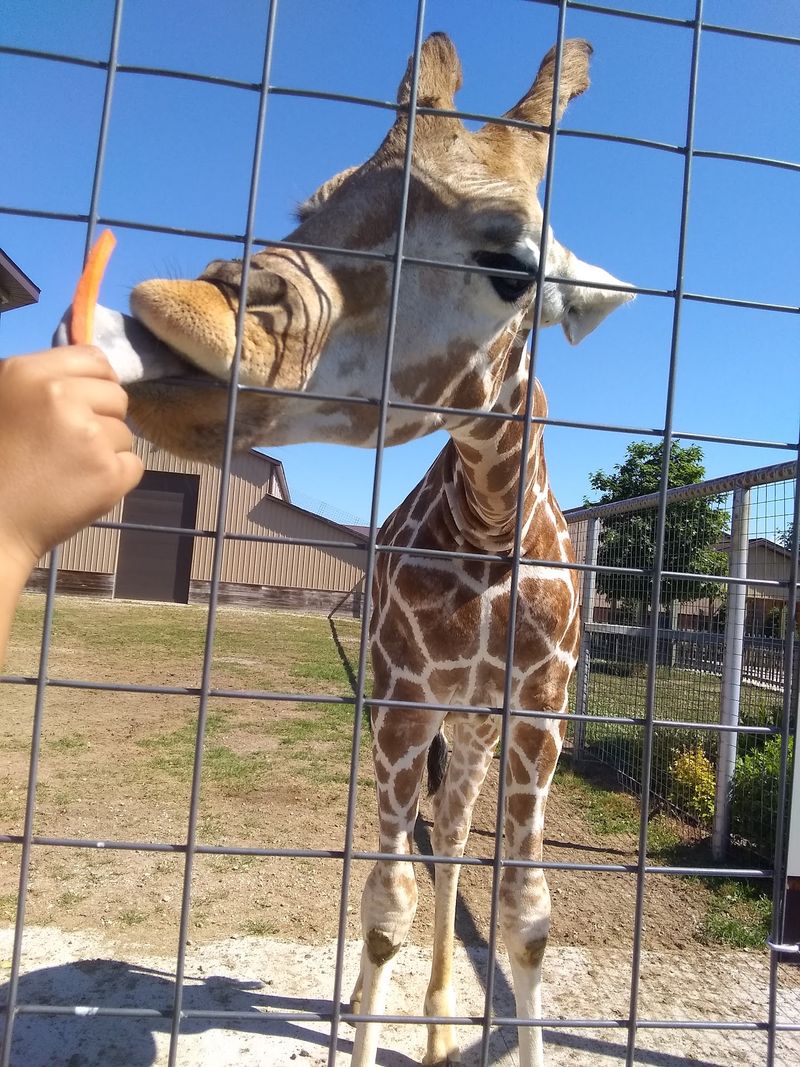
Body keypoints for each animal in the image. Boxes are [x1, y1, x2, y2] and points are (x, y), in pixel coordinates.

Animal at [88, 32, 632, 1067]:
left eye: (511, 261)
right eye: (314, 207)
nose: (186, 311)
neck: (491, 532)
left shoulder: (537, 713)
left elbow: (527, 917)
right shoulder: (401, 695)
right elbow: (385, 905)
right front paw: (370, 1015)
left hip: (474, 724)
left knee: (450, 830)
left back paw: (441, 1021)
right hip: (411, 708)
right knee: (416, 844)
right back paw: (389, 1007)